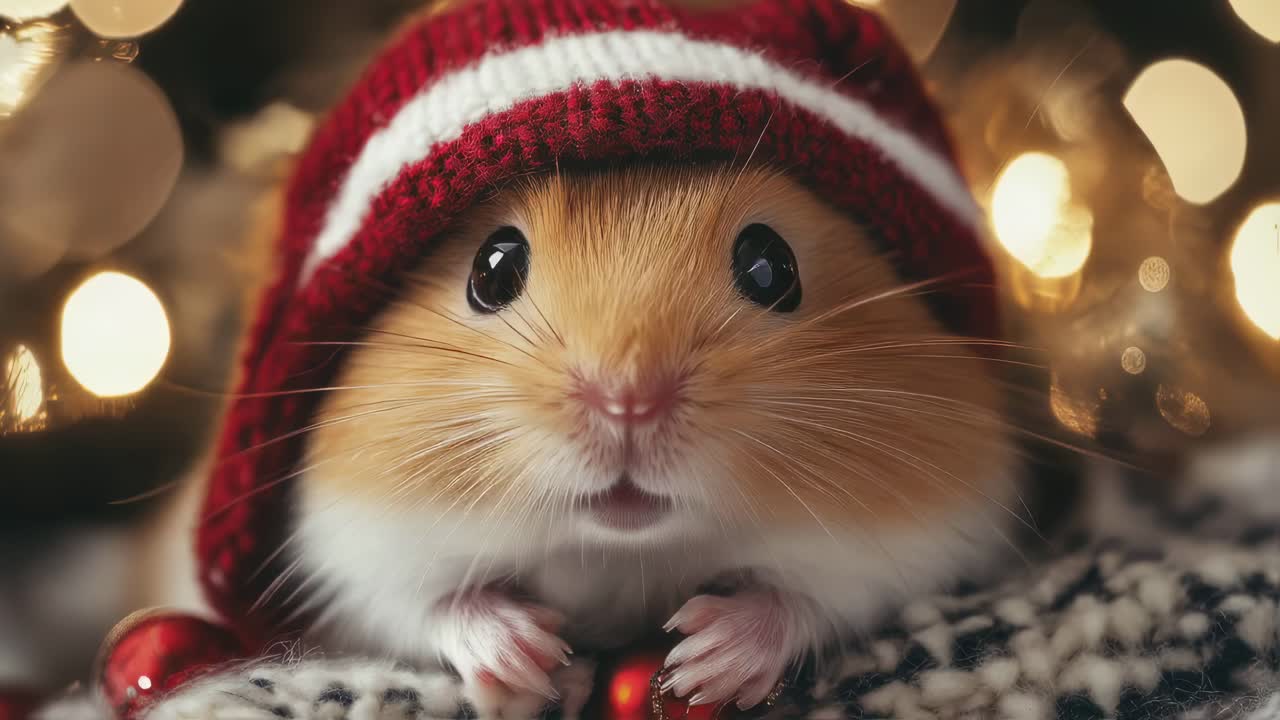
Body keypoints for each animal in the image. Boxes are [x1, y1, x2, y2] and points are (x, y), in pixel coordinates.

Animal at [278, 163, 1022, 714]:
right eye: (492, 269)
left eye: (770, 266)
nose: (627, 402)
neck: (623, 555)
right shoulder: (358, 562)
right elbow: (426, 605)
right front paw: (532, 660)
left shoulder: (919, 549)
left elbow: (817, 600)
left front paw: (706, 658)